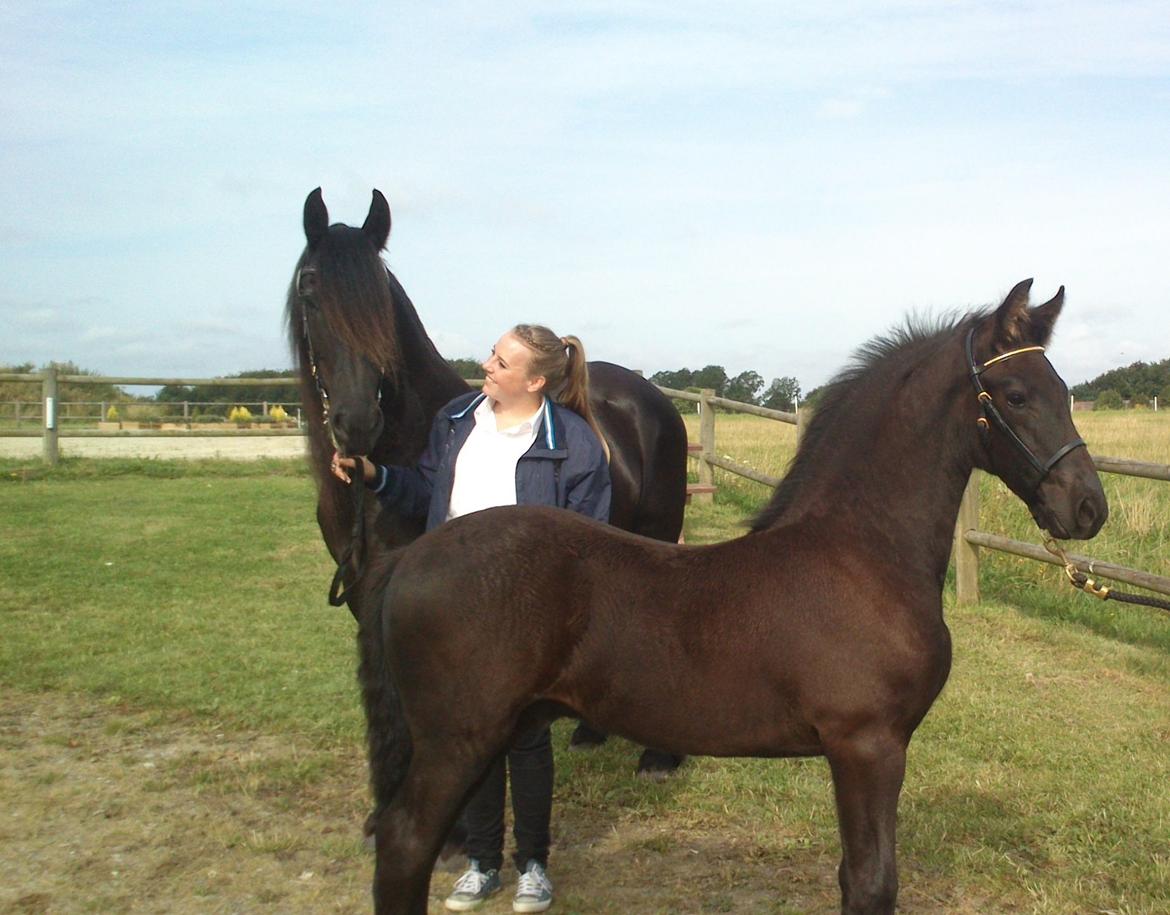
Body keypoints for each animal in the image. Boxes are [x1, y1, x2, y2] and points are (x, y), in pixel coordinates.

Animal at [285, 189, 683, 790]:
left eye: (382, 300)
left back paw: (659, 757)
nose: (357, 423)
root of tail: (650, 396)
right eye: (310, 291)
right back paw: (592, 731)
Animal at [362, 283, 1104, 912]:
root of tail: (410, 556)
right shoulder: (867, 744)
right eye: (1015, 394)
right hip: (457, 739)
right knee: (404, 843)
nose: (1088, 507)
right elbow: (871, 883)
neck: (860, 551)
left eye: (1066, 391)